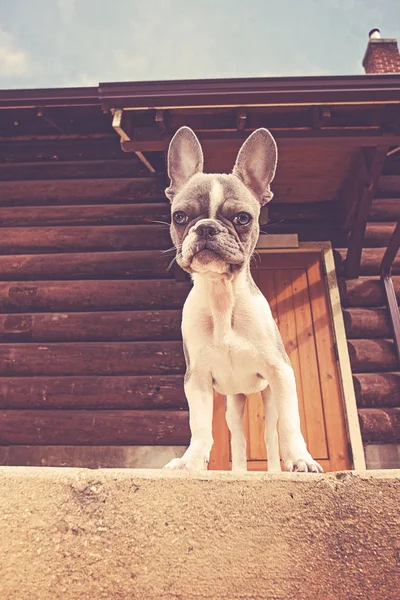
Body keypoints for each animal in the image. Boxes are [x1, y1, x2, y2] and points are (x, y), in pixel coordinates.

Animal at [162, 126, 322, 474]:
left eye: (243, 218)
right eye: (180, 217)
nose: (206, 228)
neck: (222, 295)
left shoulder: (281, 372)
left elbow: (291, 424)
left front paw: (302, 459)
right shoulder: (196, 379)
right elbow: (200, 426)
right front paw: (191, 461)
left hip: (269, 396)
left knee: (271, 434)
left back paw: (276, 470)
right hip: (233, 404)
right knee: (238, 437)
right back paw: (237, 471)